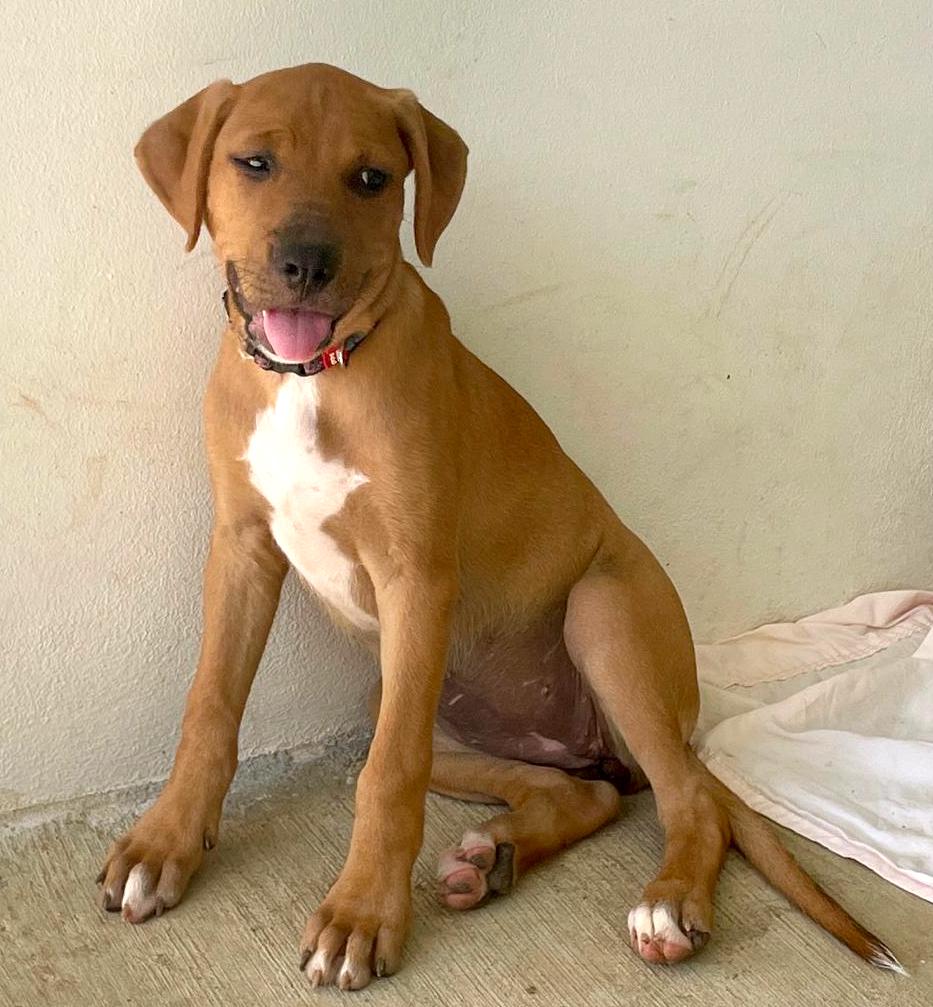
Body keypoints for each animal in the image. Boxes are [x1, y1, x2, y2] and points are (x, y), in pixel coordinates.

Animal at [98, 64, 901, 990]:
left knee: (692, 799)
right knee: (587, 791)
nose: (305, 263)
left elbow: (389, 774)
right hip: (412, 697)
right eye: (253, 162)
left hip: (601, 616)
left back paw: (668, 905)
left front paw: (361, 912)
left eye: (371, 178)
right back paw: (496, 856)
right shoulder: (241, 548)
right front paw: (163, 843)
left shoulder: (415, 578)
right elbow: (210, 706)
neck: (315, 376)